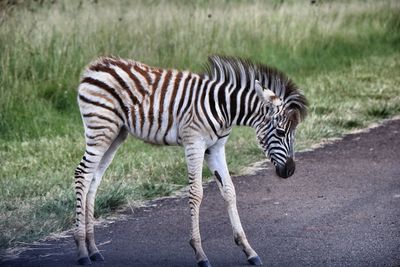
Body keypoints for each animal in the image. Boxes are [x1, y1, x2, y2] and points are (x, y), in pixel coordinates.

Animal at [73, 55, 308, 266]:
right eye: (280, 132)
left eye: (294, 133)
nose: (290, 171)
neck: (224, 108)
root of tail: (96, 64)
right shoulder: (194, 143)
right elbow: (196, 193)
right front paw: (200, 253)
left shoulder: (215, 148)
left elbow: (229, 190)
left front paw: (248, 250)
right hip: (100, 129)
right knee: (82, 175)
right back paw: (82, 251)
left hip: (115, 134)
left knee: (93, 180)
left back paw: (94, 250)